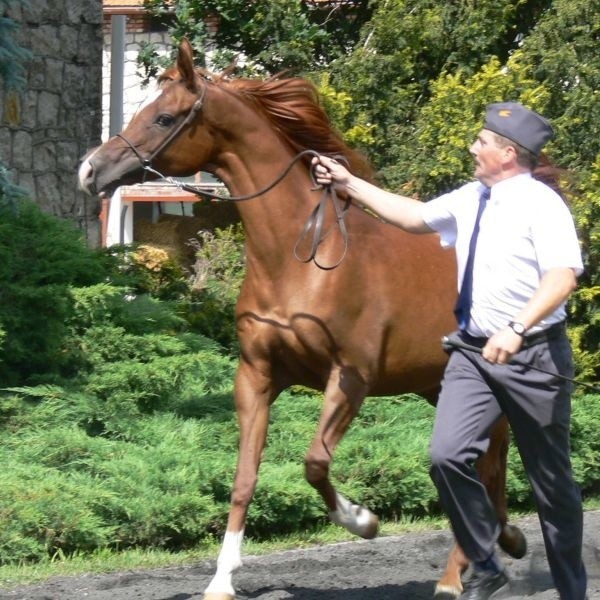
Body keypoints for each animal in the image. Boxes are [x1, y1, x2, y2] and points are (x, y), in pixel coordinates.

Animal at [78, 39, 524, 596]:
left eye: (162, 117)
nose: (90, 171)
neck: (302, 263)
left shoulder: (349, 378)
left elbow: (314, 463)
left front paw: (364, 520)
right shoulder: (257, 376)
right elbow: (244, 477)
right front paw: (222, 578)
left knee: (483, 464)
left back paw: (459, 572)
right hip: (435, 384)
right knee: (485, 465)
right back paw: (501, 544)